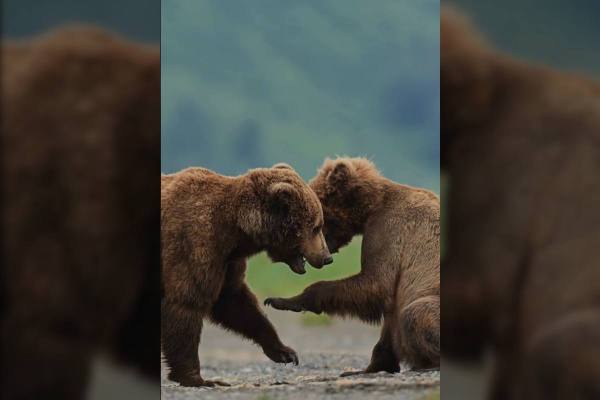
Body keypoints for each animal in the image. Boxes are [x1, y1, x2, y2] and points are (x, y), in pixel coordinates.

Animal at [161, 163, 332, 388]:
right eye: (316, 227)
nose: (327, 257)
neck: (234, 230)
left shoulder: (227, 262)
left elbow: (236, 302)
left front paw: (285, 352)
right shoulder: (195, 244)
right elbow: (186, 303)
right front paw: (197, 378)